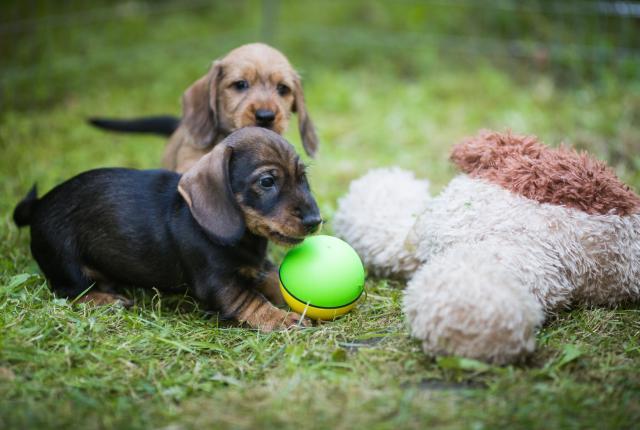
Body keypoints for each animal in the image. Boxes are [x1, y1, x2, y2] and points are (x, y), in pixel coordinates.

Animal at [13, 127, 324, 330]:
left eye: (303, 177)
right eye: (267, 182)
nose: (315, 221)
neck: (244, 239)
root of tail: (39, 205)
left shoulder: (258, 268)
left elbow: (275, 280)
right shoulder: (219, 283)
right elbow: (251, 301)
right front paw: (280, 318)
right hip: (66, 263)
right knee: (67, 291)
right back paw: (106, 299)